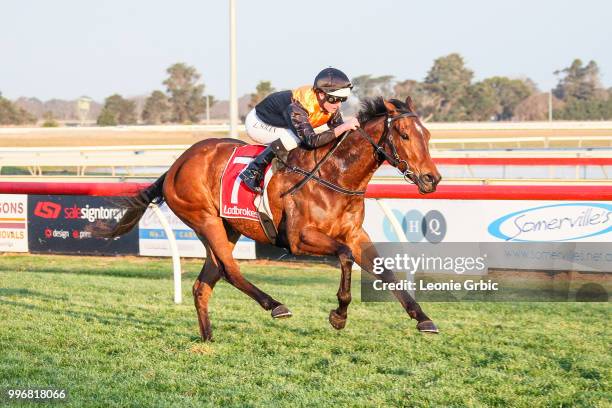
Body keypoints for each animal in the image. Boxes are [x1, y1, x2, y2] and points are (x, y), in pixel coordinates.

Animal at [94, 96, 440, 342]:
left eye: (427, 135)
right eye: (405, 135)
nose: (432, 179)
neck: (335, 176)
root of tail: (176, 163)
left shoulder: (356, 235)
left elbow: (386, 271)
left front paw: (423, 318)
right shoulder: (301, 239)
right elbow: (344, 256)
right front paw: (339, 314)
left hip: (228, 227)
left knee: (205, 282)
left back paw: (208, 339)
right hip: (204, 219)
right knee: (229, 270)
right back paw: (275, 305)